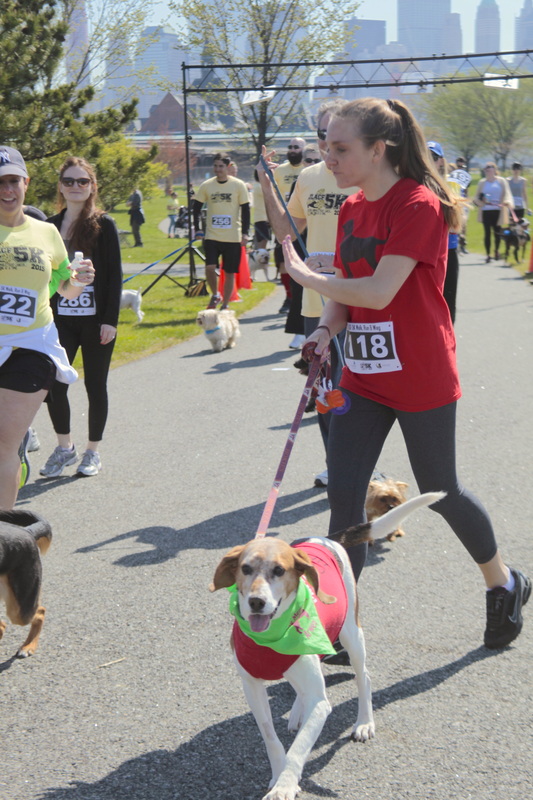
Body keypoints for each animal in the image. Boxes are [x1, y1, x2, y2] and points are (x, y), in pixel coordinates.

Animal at [211, 491, 444, 800]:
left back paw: (364, 723)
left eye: (279, 570)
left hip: (352, 635)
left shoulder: (320, 704)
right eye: (245, 568)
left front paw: (285, 785)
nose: (256, 602)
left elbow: (299, 747)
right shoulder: (252, 688)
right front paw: (279, 773)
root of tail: (325, 538)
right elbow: (272, 738)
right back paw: (298, 711)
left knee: (363, 677)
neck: (272, 636)